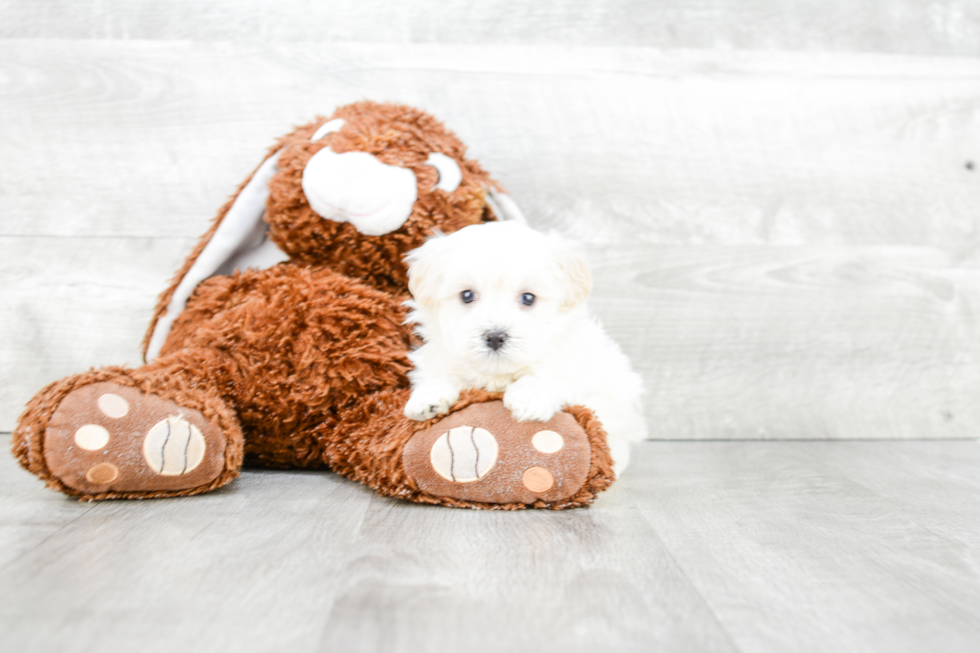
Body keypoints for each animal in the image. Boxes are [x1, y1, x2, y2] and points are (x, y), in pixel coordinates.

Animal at [402, 222, 648, 472]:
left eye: (528, 298)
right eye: (467, 295)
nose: (495, 337)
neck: (499, 375)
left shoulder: (580, 361)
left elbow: (553, 372)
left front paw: (528, 398)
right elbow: (439, 372)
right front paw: (428, 397)